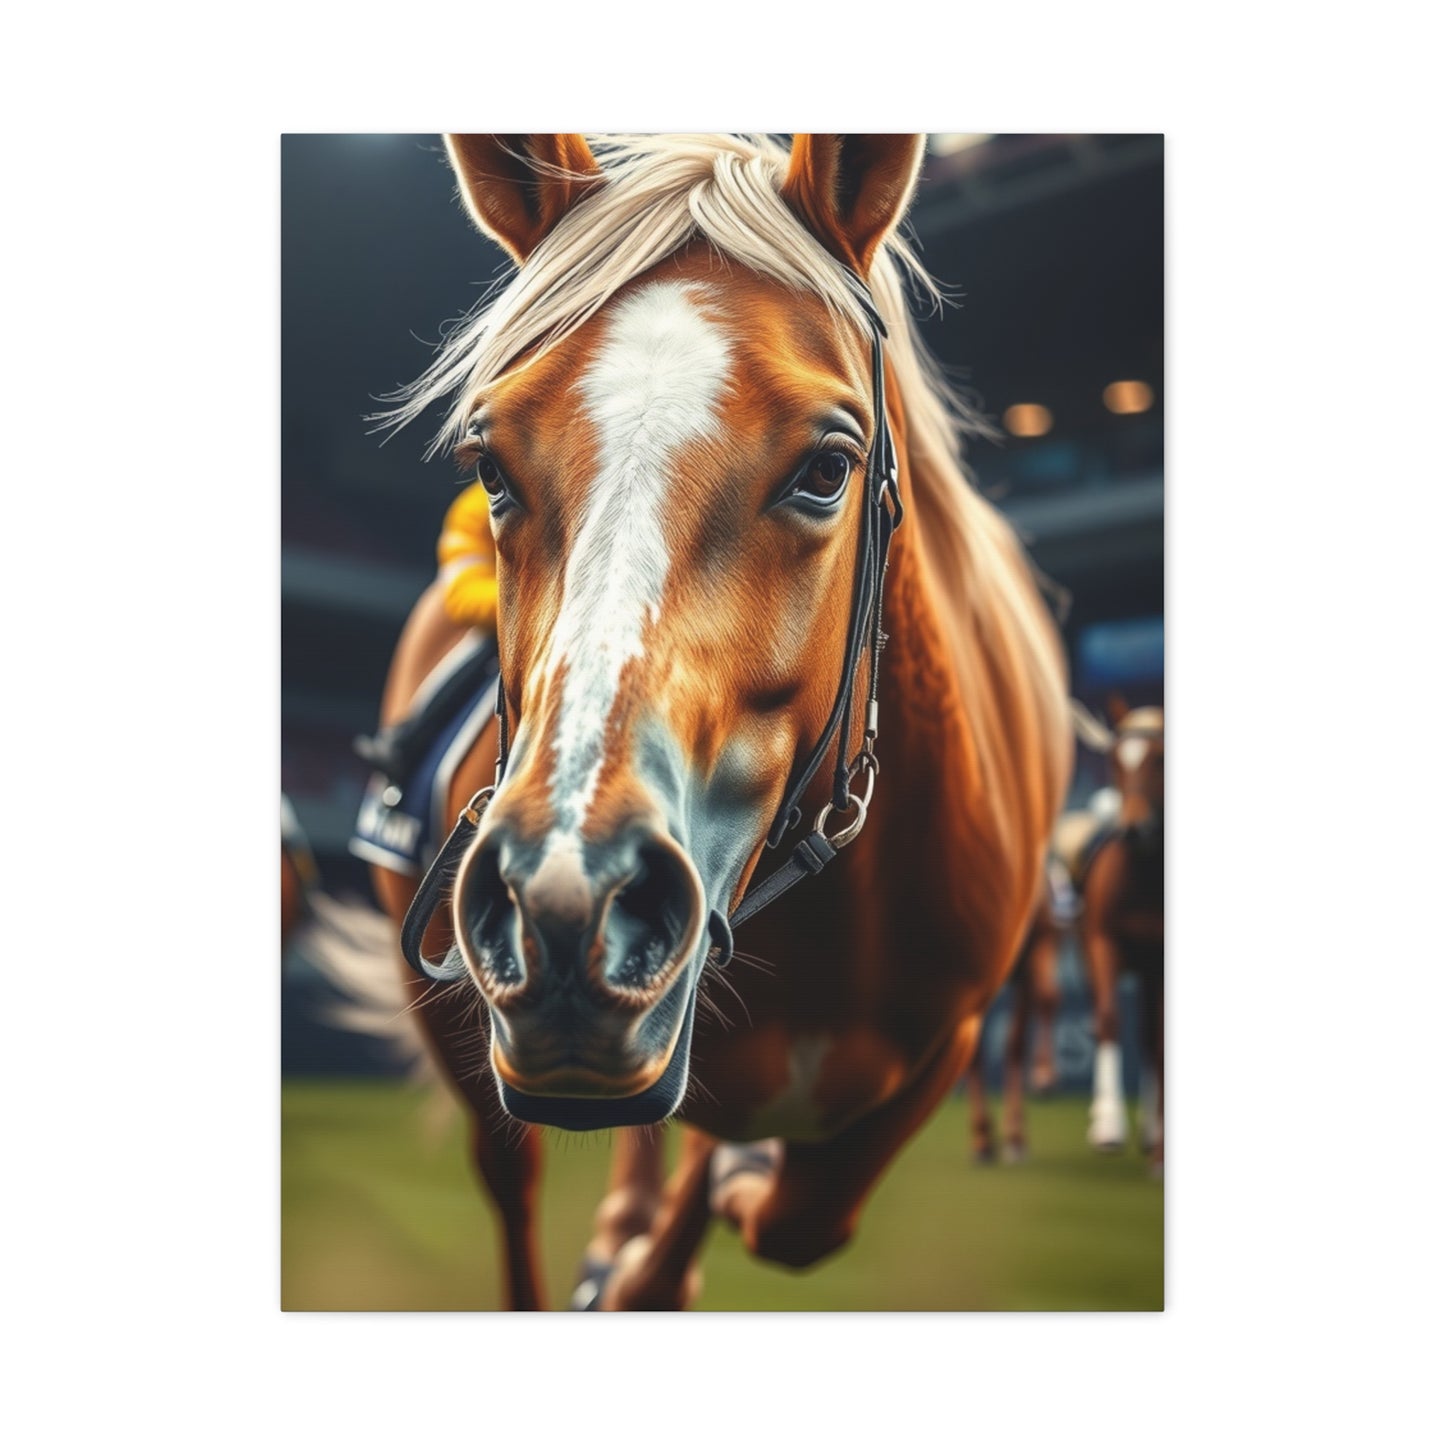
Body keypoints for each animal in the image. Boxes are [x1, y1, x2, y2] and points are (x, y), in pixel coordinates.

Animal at [343, 133, 1071, 1310]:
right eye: (489, 466)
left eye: (827, 468)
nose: (564, 902)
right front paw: (660, 1231)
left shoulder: (949, 1039)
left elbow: (793, 1211)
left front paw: (717, 1196)